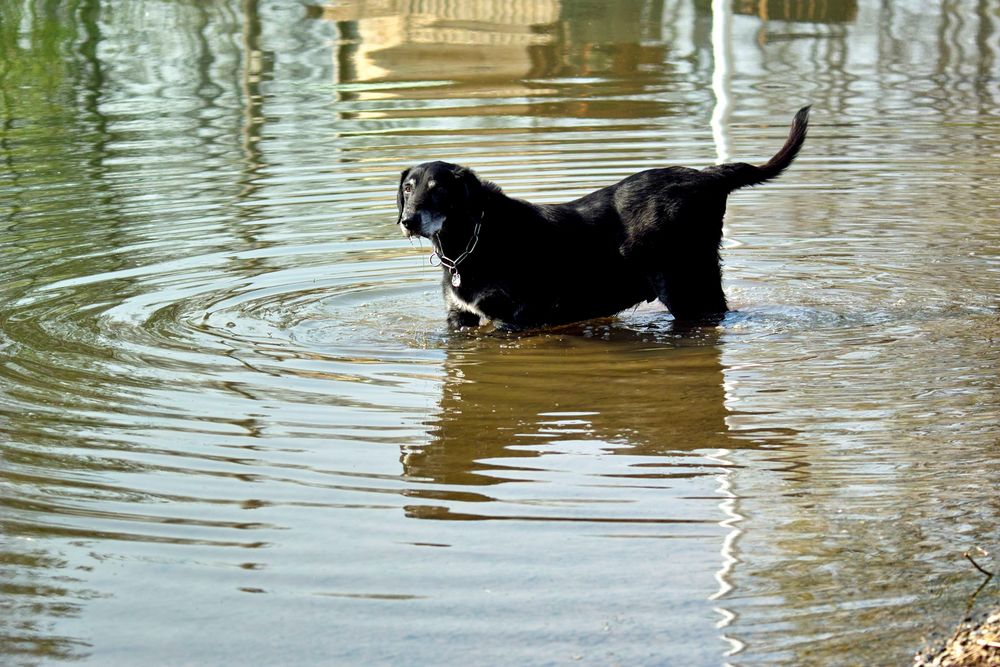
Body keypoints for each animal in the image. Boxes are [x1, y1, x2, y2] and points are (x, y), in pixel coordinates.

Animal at [394, 106, 808, 332]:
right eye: (408, 188)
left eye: (438, 189)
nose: (408, 220)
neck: (469, 242)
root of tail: (709, 176)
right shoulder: (460, 319)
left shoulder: (517, 319)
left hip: (688, 286)